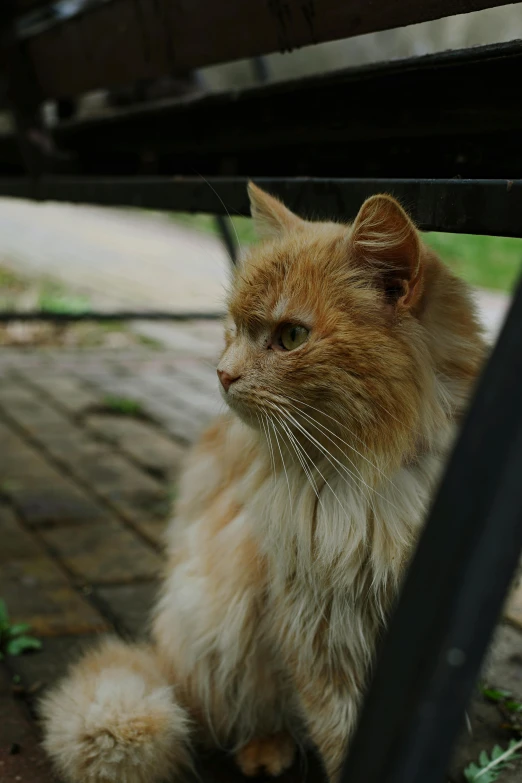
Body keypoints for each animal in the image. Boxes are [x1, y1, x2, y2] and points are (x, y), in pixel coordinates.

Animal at [40, 185, 484, 783]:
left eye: (291, 335)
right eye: (231, 325)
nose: (222, 374)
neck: (378, 473)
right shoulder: (317, 629)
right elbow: (341, 733)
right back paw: (265, 751)